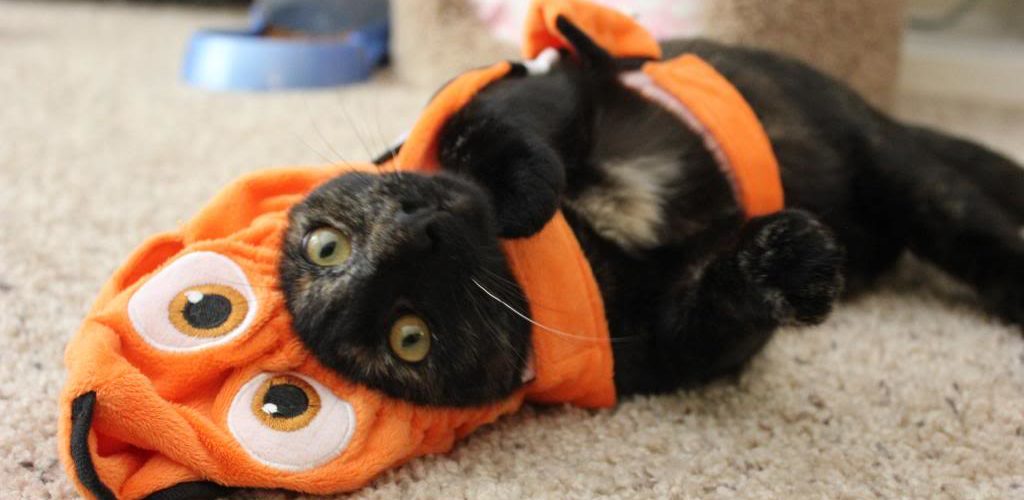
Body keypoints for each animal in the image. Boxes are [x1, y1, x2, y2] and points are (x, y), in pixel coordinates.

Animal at [279, 17, 1023, 407]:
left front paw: (522, 194)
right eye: (409, 339)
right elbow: (717, 298)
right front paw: (789, 265)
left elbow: (498, 128)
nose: (419, 231)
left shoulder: (528, 86)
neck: (581, 239)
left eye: (327, 245)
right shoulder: (676, 348)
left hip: (896, 168)